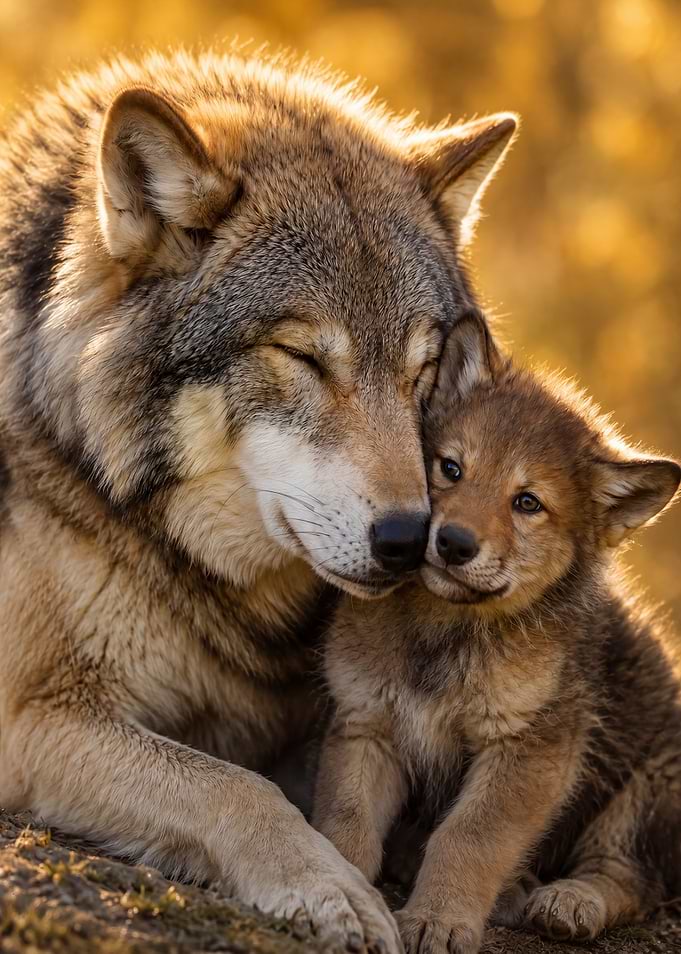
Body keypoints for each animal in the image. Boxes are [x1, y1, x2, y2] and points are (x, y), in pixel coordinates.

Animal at [0, 49, 518, 948]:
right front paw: (330, 887)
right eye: (302, 357)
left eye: (422, 370)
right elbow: (235, 786)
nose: (407, 538)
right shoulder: (29, 712)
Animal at [314, 310, 681, 953]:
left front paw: (438, 919)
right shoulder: (366, 724)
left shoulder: (530, 750)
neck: (445, 631)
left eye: (527, 503)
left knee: (628, 876)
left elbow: (469, 838)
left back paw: (569, 900)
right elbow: (346, 824)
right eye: (450, 468)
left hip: (648, 791)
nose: (453, 543)